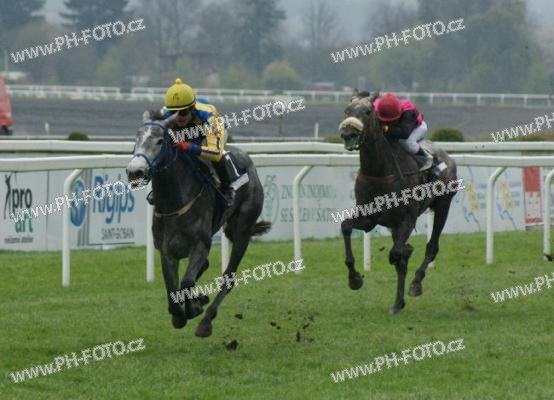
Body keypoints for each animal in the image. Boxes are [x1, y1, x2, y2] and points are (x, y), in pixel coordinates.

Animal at [126, 110, 271, 337]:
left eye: (159, 141)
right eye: (136, 138)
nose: (135, 171)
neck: (174, 202)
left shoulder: (200, 245)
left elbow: (186, 282)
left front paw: (194, 307)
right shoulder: (167, 250)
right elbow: (172, 289)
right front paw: (180, 313)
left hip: (243, 229)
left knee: (228, 277)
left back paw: (206, 321)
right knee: (204, 269)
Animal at [339, 90, 458, 315]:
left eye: (367, 112)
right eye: (347, 111)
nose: (348, 134)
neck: (379, 172)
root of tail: (447, 156)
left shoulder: (407, 220)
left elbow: (396, 254)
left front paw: (406, 255)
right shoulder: (368, 219)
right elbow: (346, 227)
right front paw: (355, 279)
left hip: (443, 205)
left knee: (432, 247)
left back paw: (416, 283)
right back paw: (397, 303)